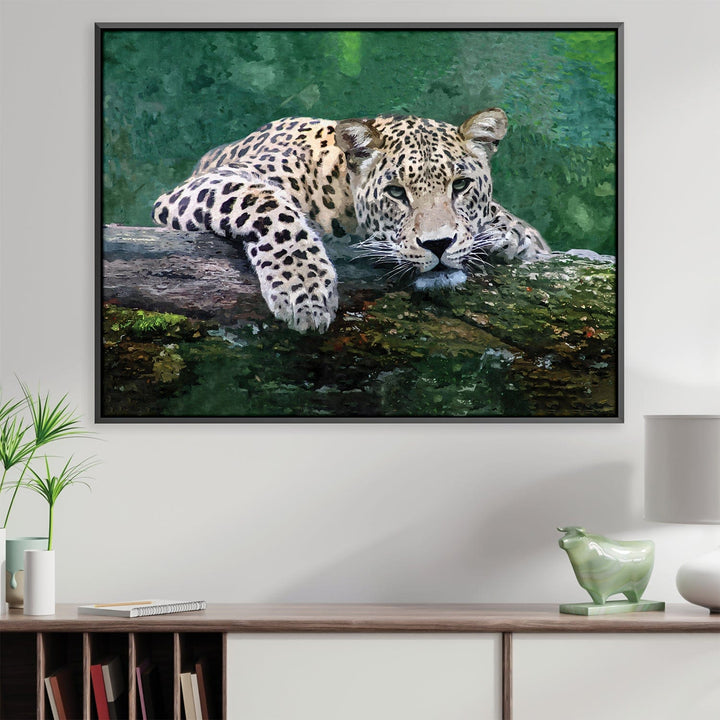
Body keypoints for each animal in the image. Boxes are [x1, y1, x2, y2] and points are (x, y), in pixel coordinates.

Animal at [152, 108, 549, 333]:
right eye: (396, 192)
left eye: (461, 185)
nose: (438, 245)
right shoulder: (208, 184)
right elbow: (269, 206)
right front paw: (305, 291)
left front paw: (512, 234)